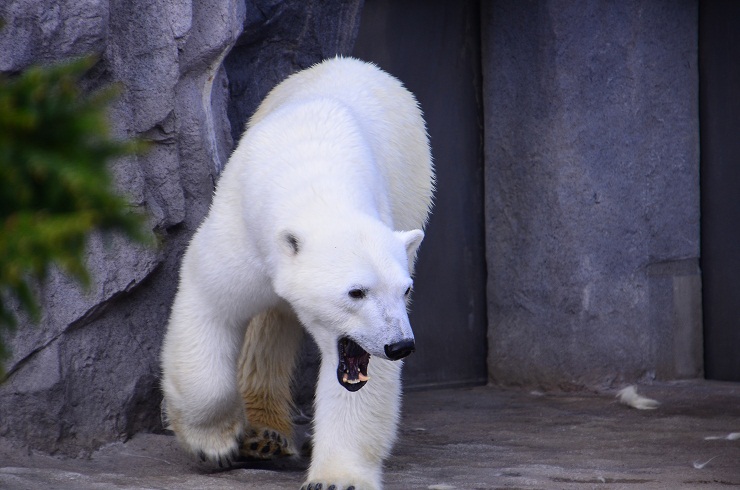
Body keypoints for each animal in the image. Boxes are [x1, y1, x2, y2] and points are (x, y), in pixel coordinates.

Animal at [160, 55, 434, 488]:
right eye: (356, 291)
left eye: (403, 290)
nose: (399, 345)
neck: (316, 179)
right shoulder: (242, 233)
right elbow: (212, 305)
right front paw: (213, 443)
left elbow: (360, 379)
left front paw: (337, 477)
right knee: (267, 323)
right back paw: (262, 436)